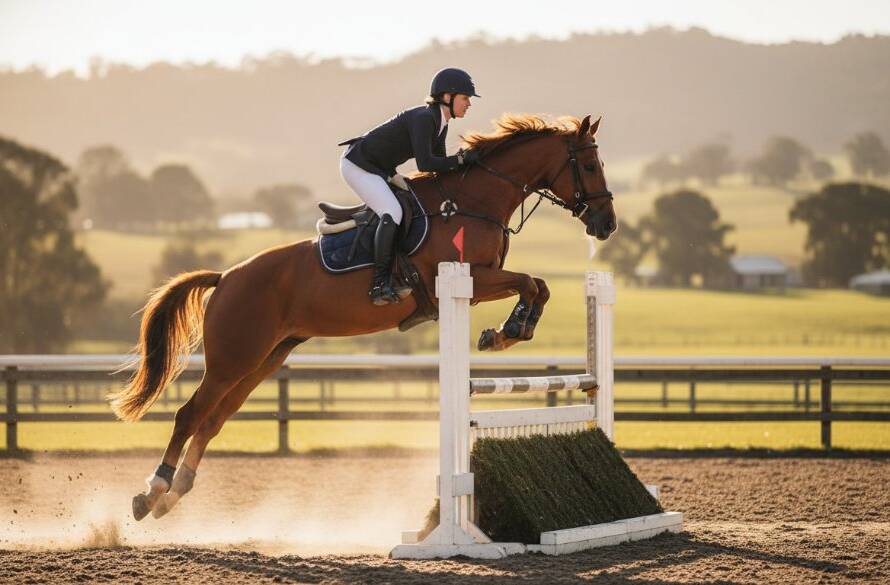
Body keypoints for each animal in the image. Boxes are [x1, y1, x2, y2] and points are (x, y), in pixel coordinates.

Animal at [110, 113, 617, 521]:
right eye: (590, 165)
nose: (606, 224)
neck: (473, 201)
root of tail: (227, 277)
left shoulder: (482, 282)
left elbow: (539, 285)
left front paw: (511, 330)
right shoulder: (465, 279)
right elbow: (531, 281)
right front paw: (506, 332)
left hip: (264, 359)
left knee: (213, 420)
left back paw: (173, 494)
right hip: (233, 358)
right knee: (189, 415)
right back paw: (150, 493)